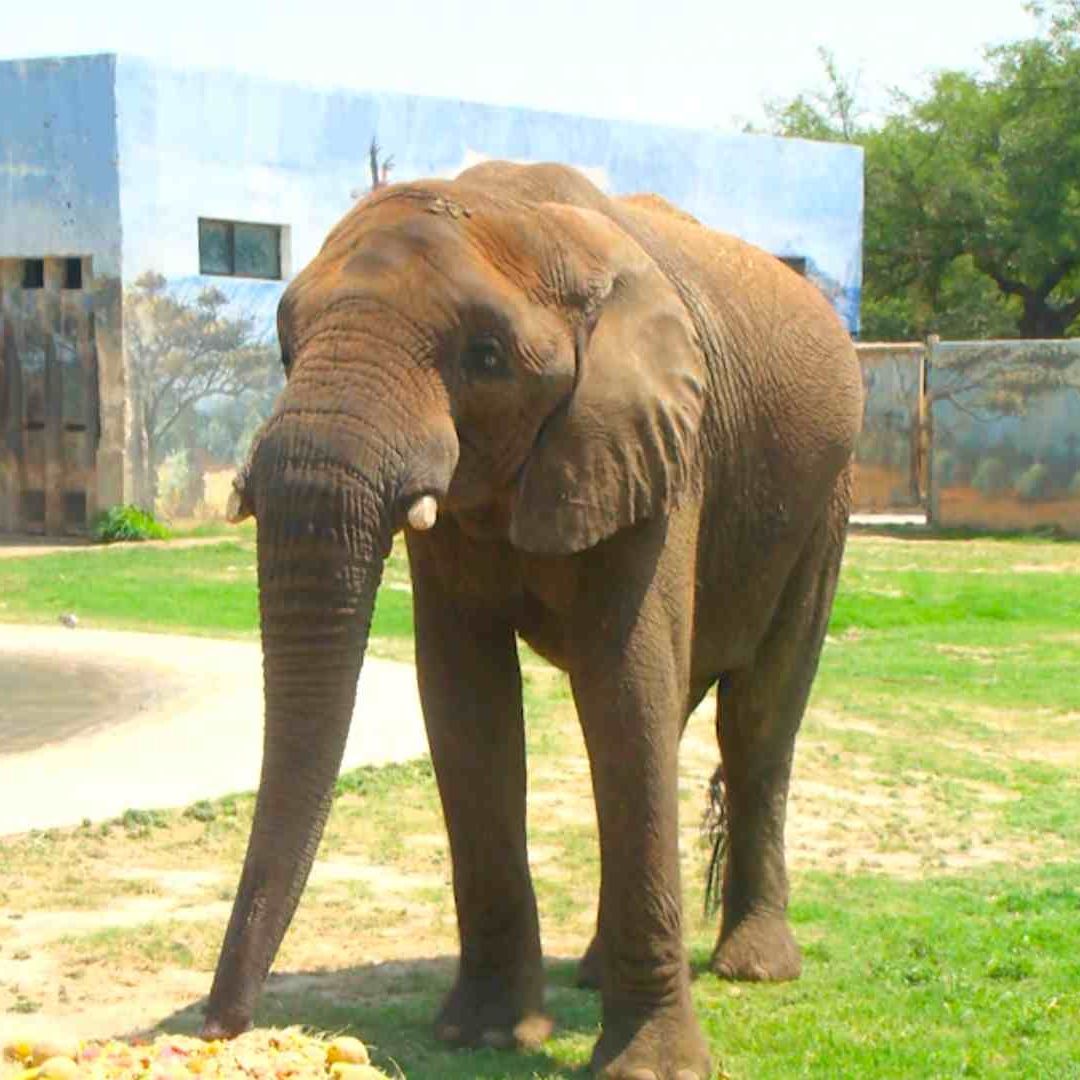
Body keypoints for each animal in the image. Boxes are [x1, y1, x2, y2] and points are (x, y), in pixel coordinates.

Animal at [202, 160, 863, 1080]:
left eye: (484, 358)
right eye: (285, 351)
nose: (222, 1027)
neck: (525, 217)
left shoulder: (658, 445)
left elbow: (626, 682)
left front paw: (649, 1069)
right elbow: (466, 699)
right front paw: (483, 1036)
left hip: (825, 499)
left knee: (758, 716)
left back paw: (754, 968)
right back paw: (593, 971)